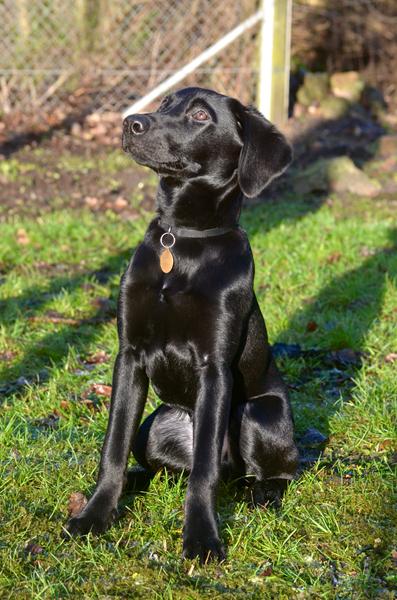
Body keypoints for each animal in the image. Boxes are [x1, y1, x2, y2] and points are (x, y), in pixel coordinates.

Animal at [64, 88, 296, 564]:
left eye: (201, 115)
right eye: (165, 103)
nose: (131, 122)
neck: (183, 240)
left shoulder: (215, 368)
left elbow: (204, 469)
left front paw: (202, 538)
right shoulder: (129, 356)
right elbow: (112, 449)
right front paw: (95, 515)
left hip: (259, 413)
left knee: (271, 471)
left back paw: (263, 495)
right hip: (157, 425)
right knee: (163, 465)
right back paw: (139, 483)